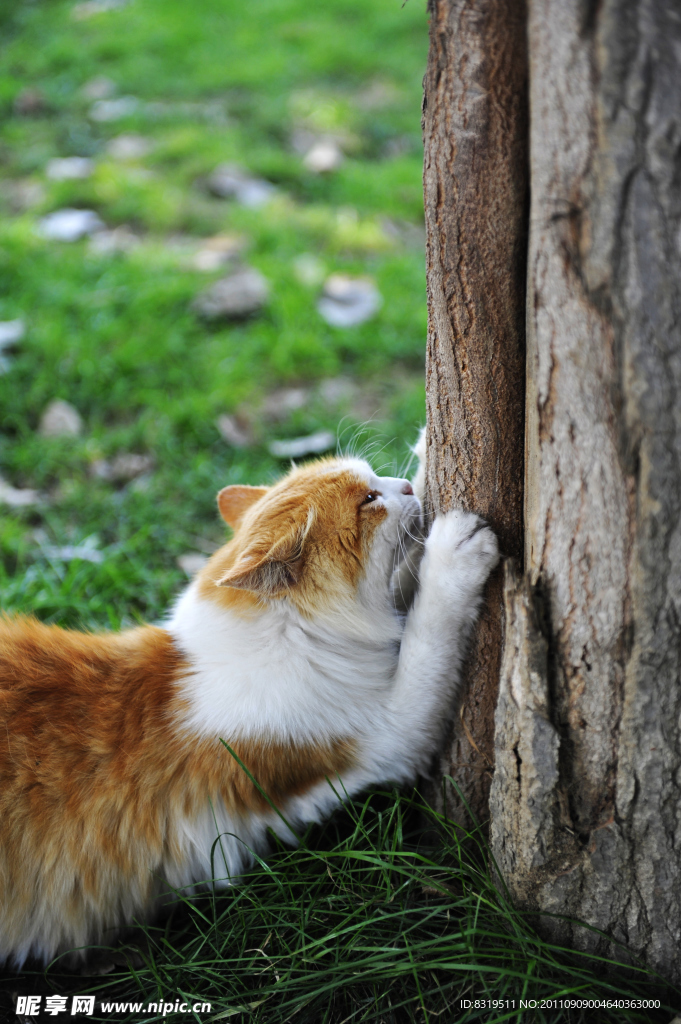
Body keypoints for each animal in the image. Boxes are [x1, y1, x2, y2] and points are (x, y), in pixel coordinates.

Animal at [0, 444, 499, 962]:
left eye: (375, 480)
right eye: (367, 500)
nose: (401, 487)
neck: (283, 633)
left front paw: (420, 454)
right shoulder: (388, 738)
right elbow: (428, 629)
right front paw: (454, 552)